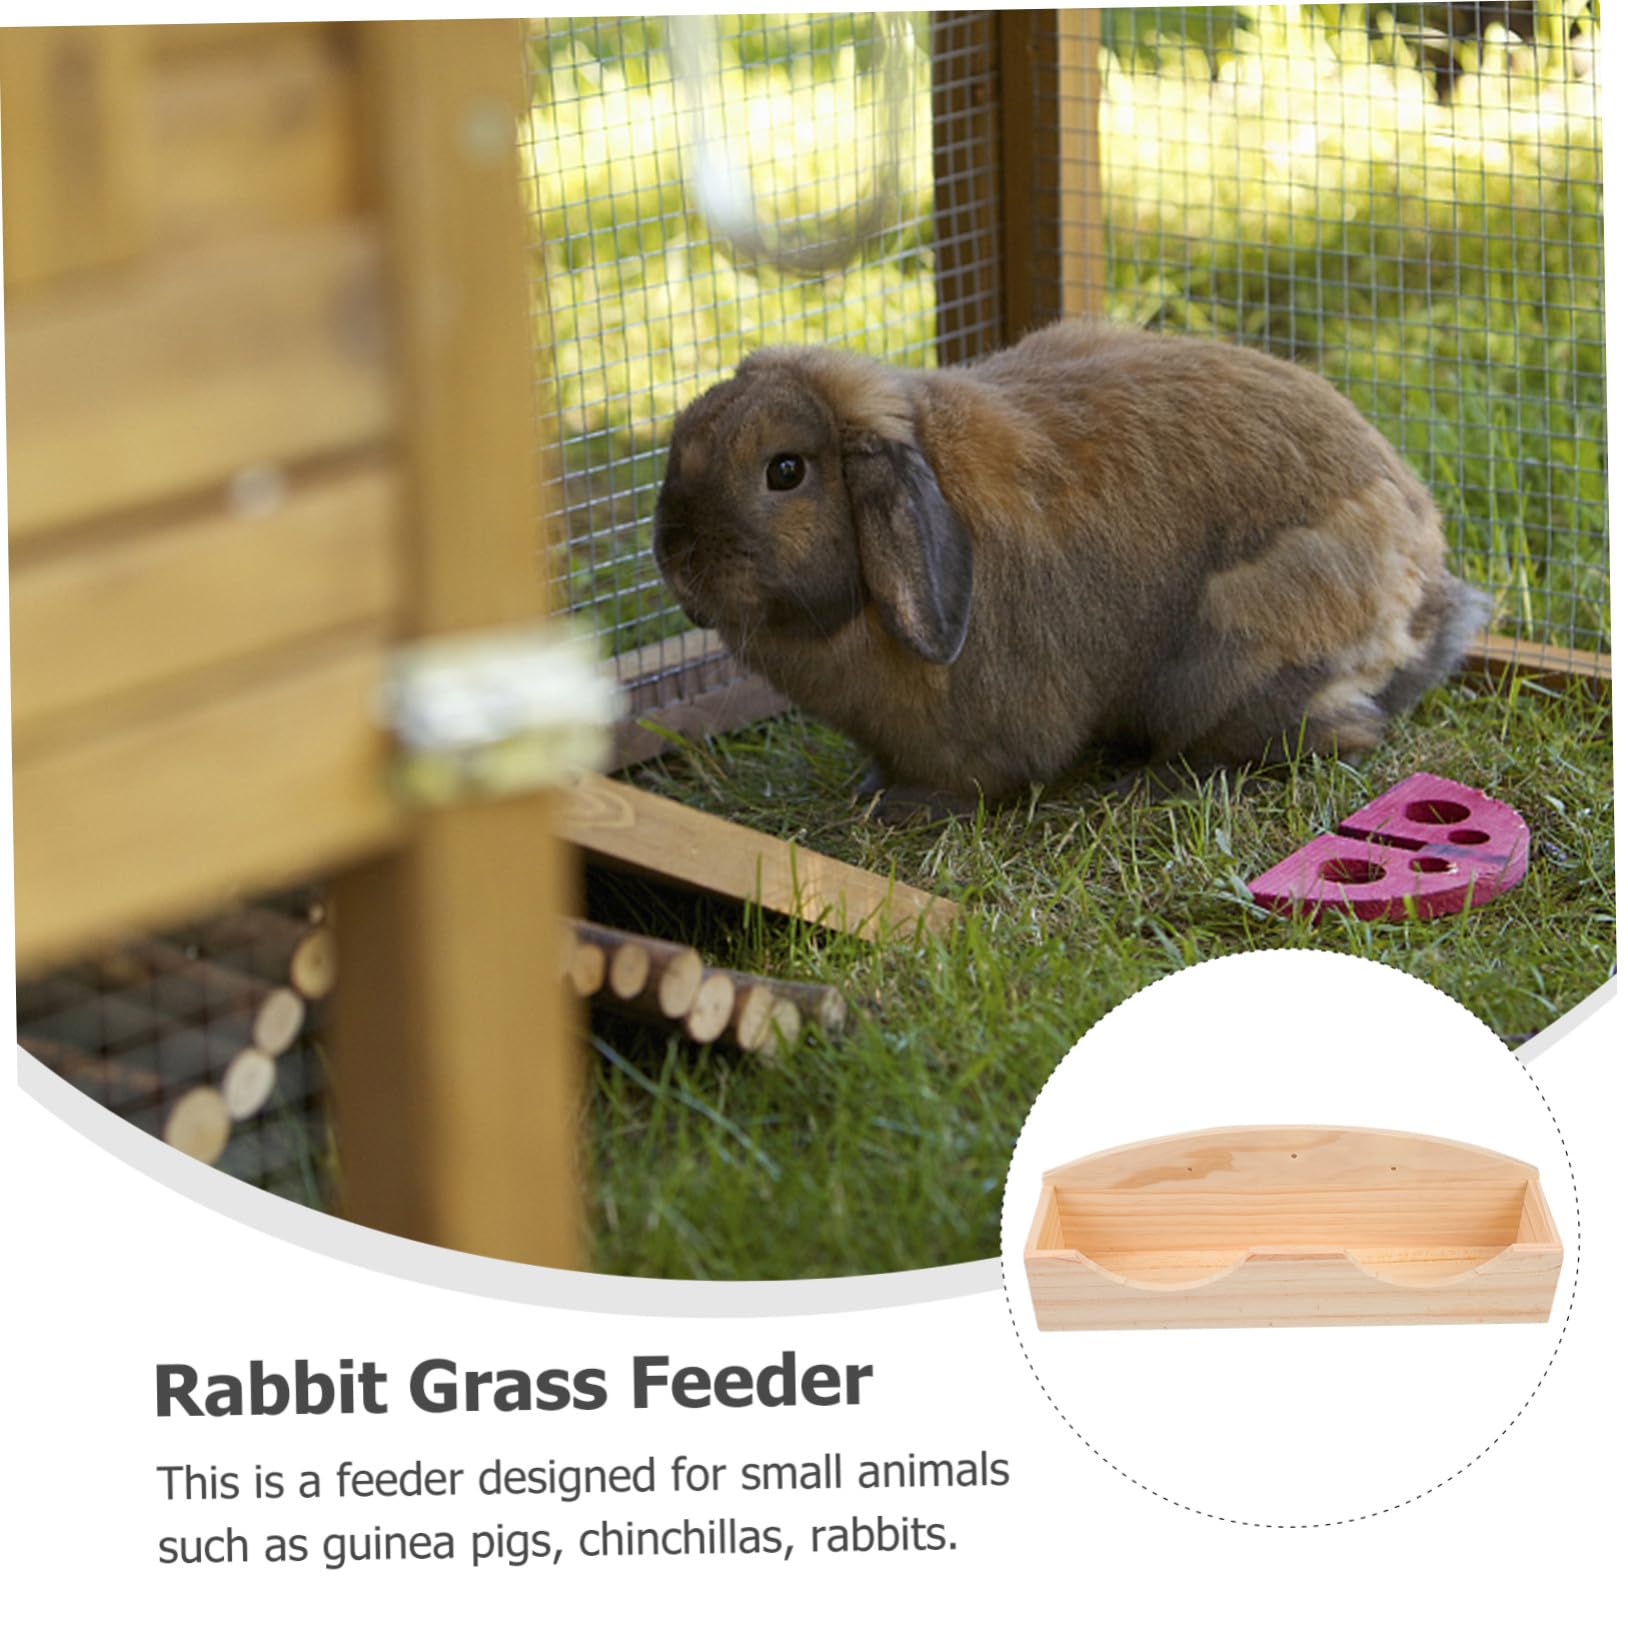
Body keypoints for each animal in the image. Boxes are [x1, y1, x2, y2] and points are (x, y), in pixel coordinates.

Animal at [651, 319, 1490, 818]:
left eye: (785, 471)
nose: (675, 559)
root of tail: (1423, 592)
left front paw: (899, 806)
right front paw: (869, 787)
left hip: (1238, 655)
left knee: (1334, 734)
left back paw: (1157, 780)